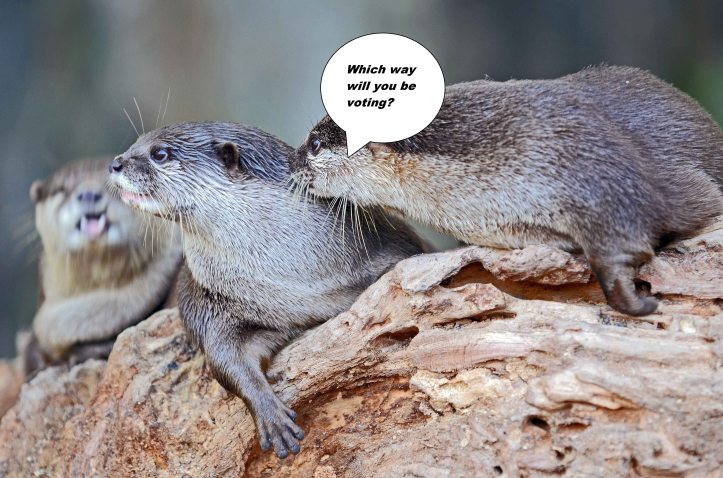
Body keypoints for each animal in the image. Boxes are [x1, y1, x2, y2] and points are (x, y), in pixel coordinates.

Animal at [108, 122, 423, 458]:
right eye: (136, 143)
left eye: (160, 154)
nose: (116, 163)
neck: (298, 284)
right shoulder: (212, 300)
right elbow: (225, 358)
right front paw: (271, 417)